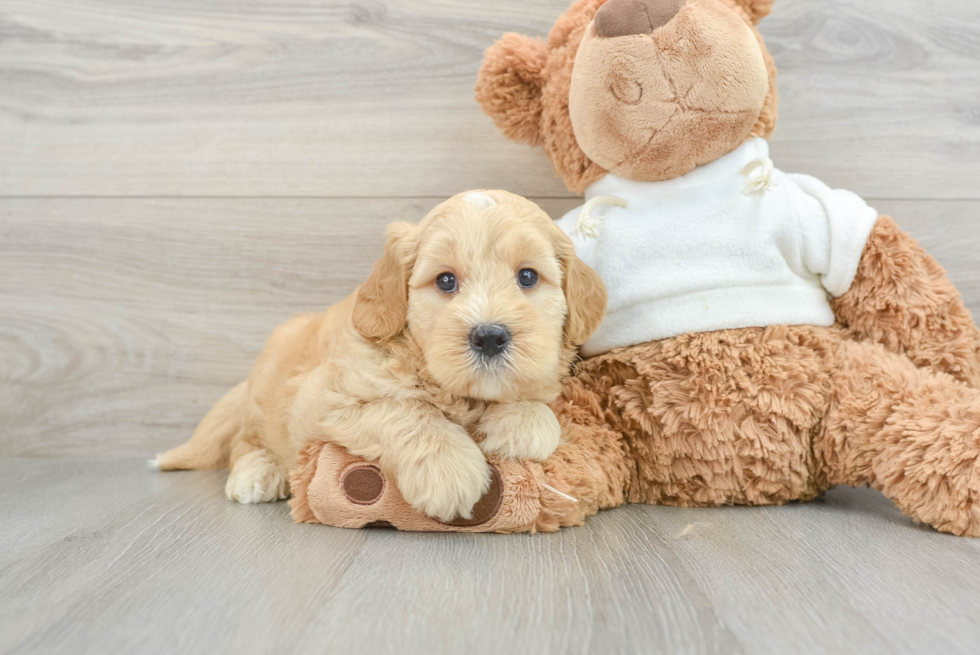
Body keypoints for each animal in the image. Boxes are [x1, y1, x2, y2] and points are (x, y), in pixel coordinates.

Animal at [157, 190, 604, 524]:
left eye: (527, 276)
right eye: (445, 281)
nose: (490, 336)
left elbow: (542, 414)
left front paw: (518, 425)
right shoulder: (320, 399)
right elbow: (400, 410)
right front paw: (449, 469)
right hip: (265, 398)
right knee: (244, 442)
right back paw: (256, 475)